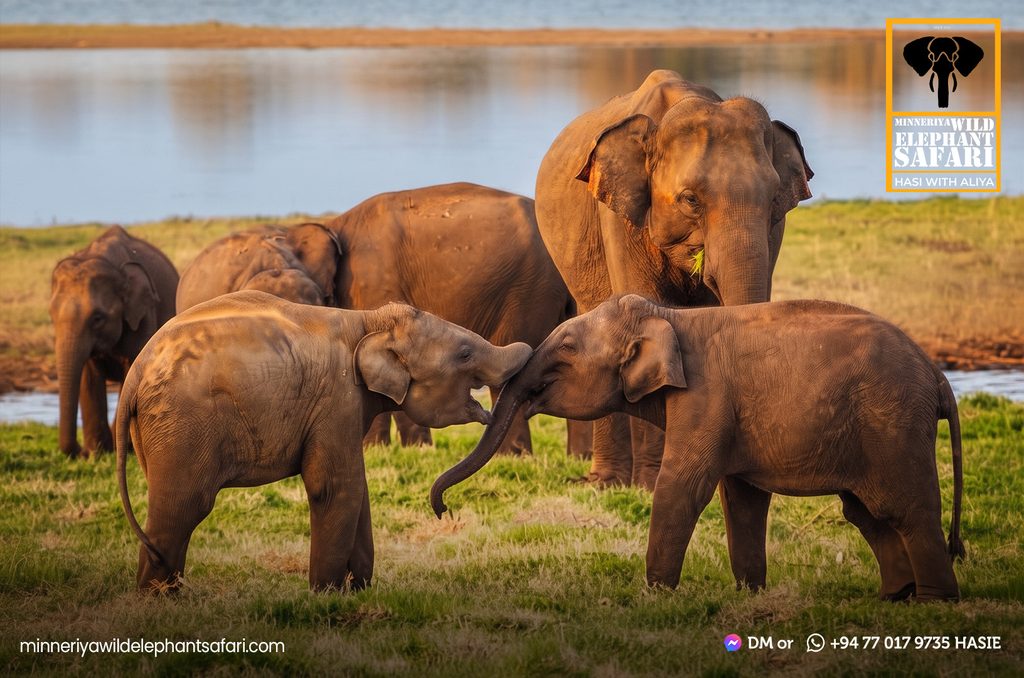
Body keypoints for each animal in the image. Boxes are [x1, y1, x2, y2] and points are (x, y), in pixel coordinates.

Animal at [49, 226, 179, 458]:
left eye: (97, 318)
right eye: (51, 316)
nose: (80, 452)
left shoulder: (144, 314)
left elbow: (132, 372)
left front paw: (118, 449)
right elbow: (88, 377)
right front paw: (97, 452)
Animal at [116, 290, 531, 592]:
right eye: (465, 353)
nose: (444, 511)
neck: (368, 321)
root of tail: (135, 374)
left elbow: (356, 488)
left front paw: (358, 590)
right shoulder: (337, 397)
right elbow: (332, 486)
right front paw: (326, 595)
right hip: (184, 424)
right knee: (184, 505)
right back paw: (160, 598)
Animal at [432, 295, 965, 601]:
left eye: (565, 348)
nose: (442, 510)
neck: (668, 317)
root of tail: (938, 376)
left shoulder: (704, 396)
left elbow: (682, 486)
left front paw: (654, 596)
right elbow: (742, 497)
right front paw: (749, 594)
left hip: (893, 423)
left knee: (906, 507)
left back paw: (934, 601)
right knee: (865, 513)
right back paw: (895, 596)